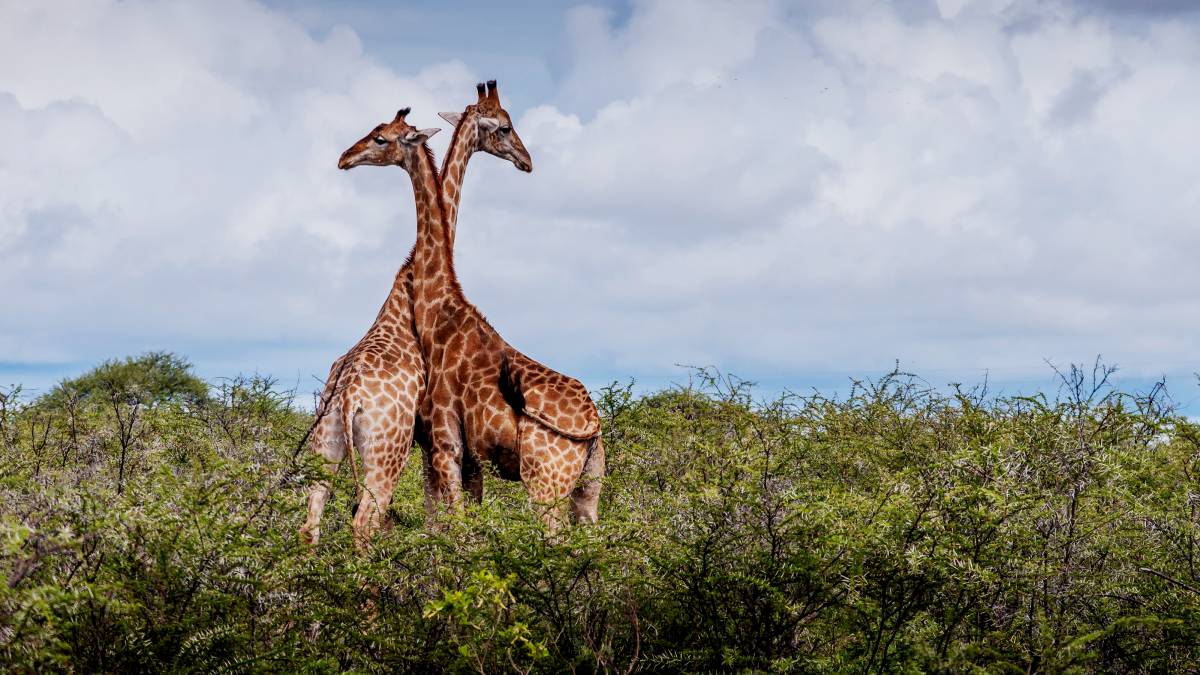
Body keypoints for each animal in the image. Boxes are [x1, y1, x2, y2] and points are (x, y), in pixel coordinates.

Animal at [406, 88, 606, 528]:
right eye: (504, 127)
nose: (527, 161)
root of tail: (594, 423)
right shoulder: (455, 454)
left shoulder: (445, 445)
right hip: (588, 486)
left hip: (545, 482)